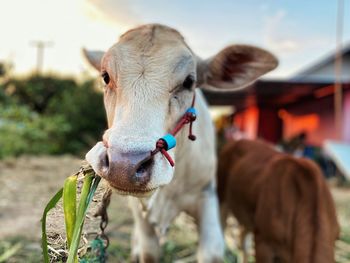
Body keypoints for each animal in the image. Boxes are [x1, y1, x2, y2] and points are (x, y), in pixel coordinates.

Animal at [84, 23, 276, 262]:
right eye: (106, 76)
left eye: (188, 82)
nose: (124, 165)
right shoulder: (142, 214)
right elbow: (147, 250)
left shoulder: (207, 195)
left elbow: (211, 252)